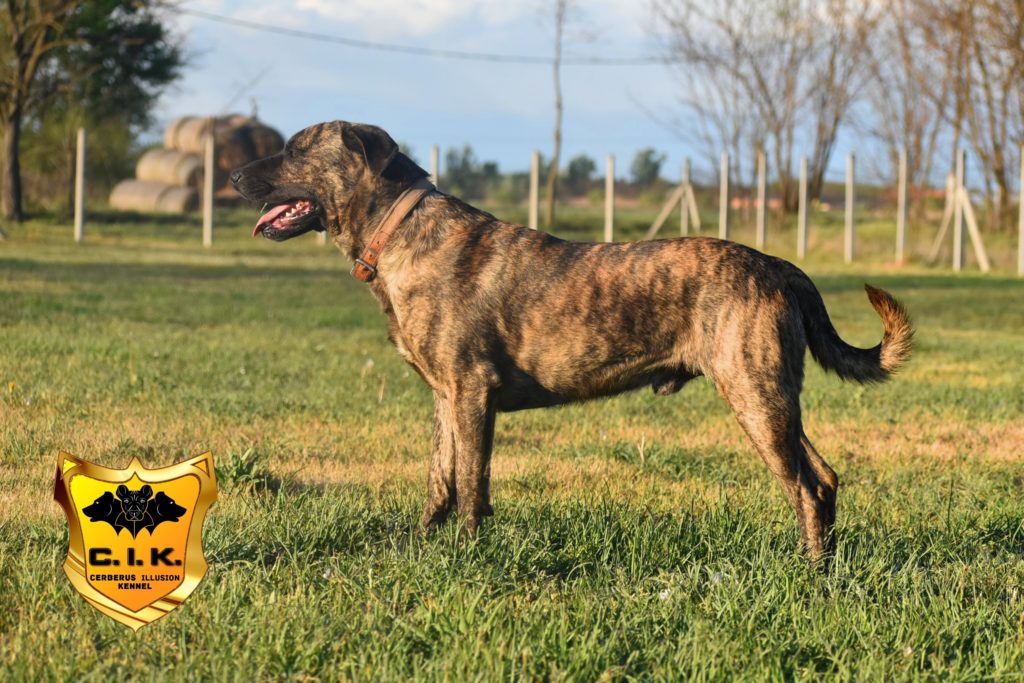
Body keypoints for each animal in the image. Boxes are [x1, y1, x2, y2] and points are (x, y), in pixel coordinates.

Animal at [232, 121, 913, 561]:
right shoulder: (445, 398)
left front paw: (468, 558)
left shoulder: (471, 393)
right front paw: (423, 546)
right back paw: (825, 565)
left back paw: (809, 572)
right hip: (773, 399)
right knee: (824, 478)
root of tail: (780, 267)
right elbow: (440, 479)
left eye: (294, 149)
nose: (234, 173)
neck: (399, 232)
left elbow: (472, 483)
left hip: (754, 395)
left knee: (805, 488)